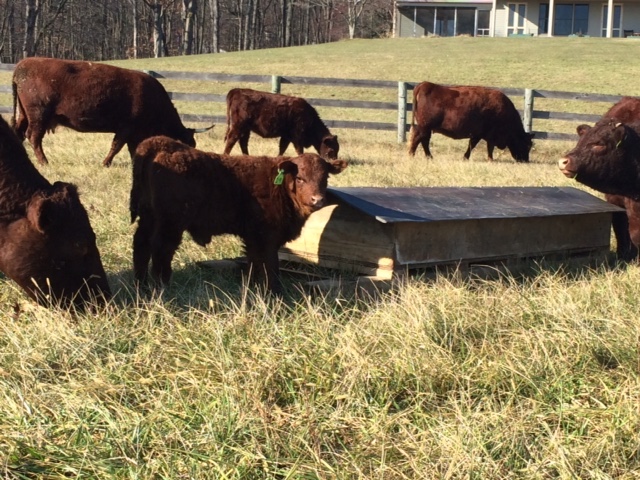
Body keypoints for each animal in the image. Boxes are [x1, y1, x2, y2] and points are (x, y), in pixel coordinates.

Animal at [11, 56, 212, 167]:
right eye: (188, 144)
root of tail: (21, 66)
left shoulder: (133, 133)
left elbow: (133, 149)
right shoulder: (126, 128)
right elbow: (116, 147)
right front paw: (105, 163)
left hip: (24, 115)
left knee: (19, 133)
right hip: (39, 116)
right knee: (34, 137)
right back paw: (44, 162)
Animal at [130, 135, 348, 292]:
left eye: (325, 177)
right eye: (300, 178)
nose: (317, 200)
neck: (278, 186)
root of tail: (159, 143)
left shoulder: (253, 237)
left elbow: (254, 263)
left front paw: (254, 287)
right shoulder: (267, 236)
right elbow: (271, 265)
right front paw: (275, 292)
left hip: (148, 217)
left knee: (142, 245)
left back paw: (142, 284)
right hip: (170, 224)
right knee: (161, 250)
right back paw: (163, 287)